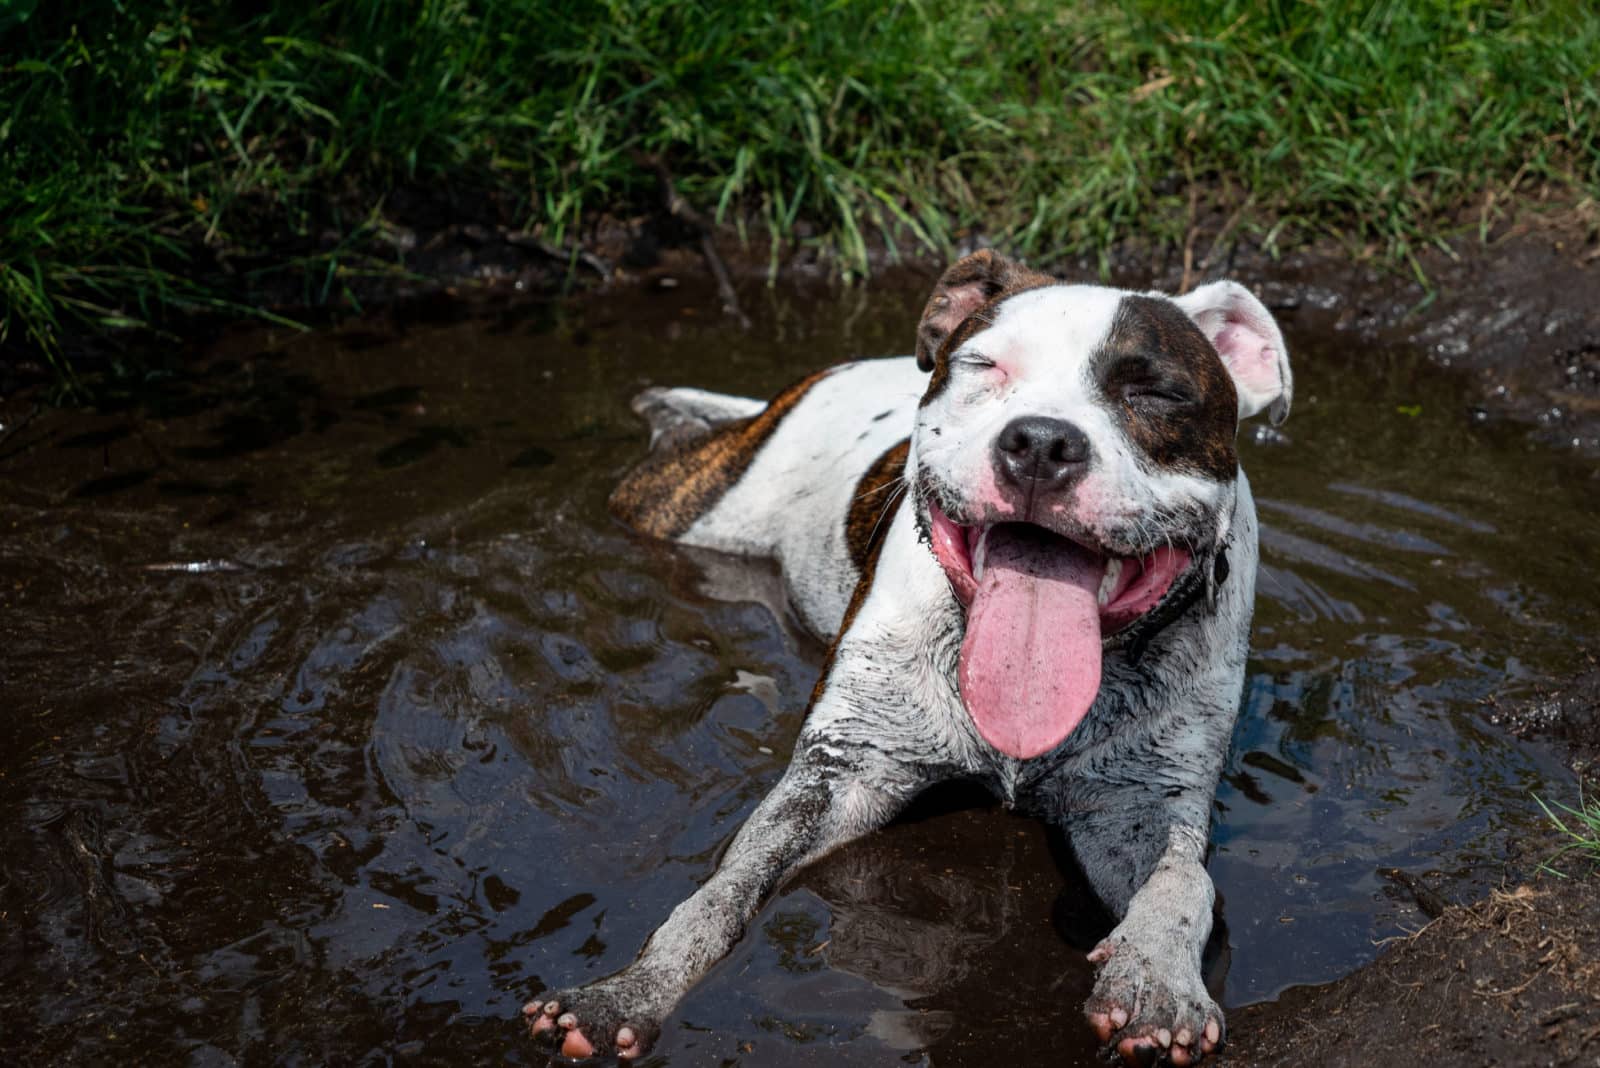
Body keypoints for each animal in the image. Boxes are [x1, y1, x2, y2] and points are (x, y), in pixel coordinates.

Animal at [524, 252, 1286, 1068]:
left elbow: (1182, 886)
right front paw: (628, 992)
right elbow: (726, 885)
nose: (1042, 443)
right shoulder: (840, 768)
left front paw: (1158, 980)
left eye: (1155, 392)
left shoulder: (1143, 802)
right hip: (686, 501)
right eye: (984, 365)